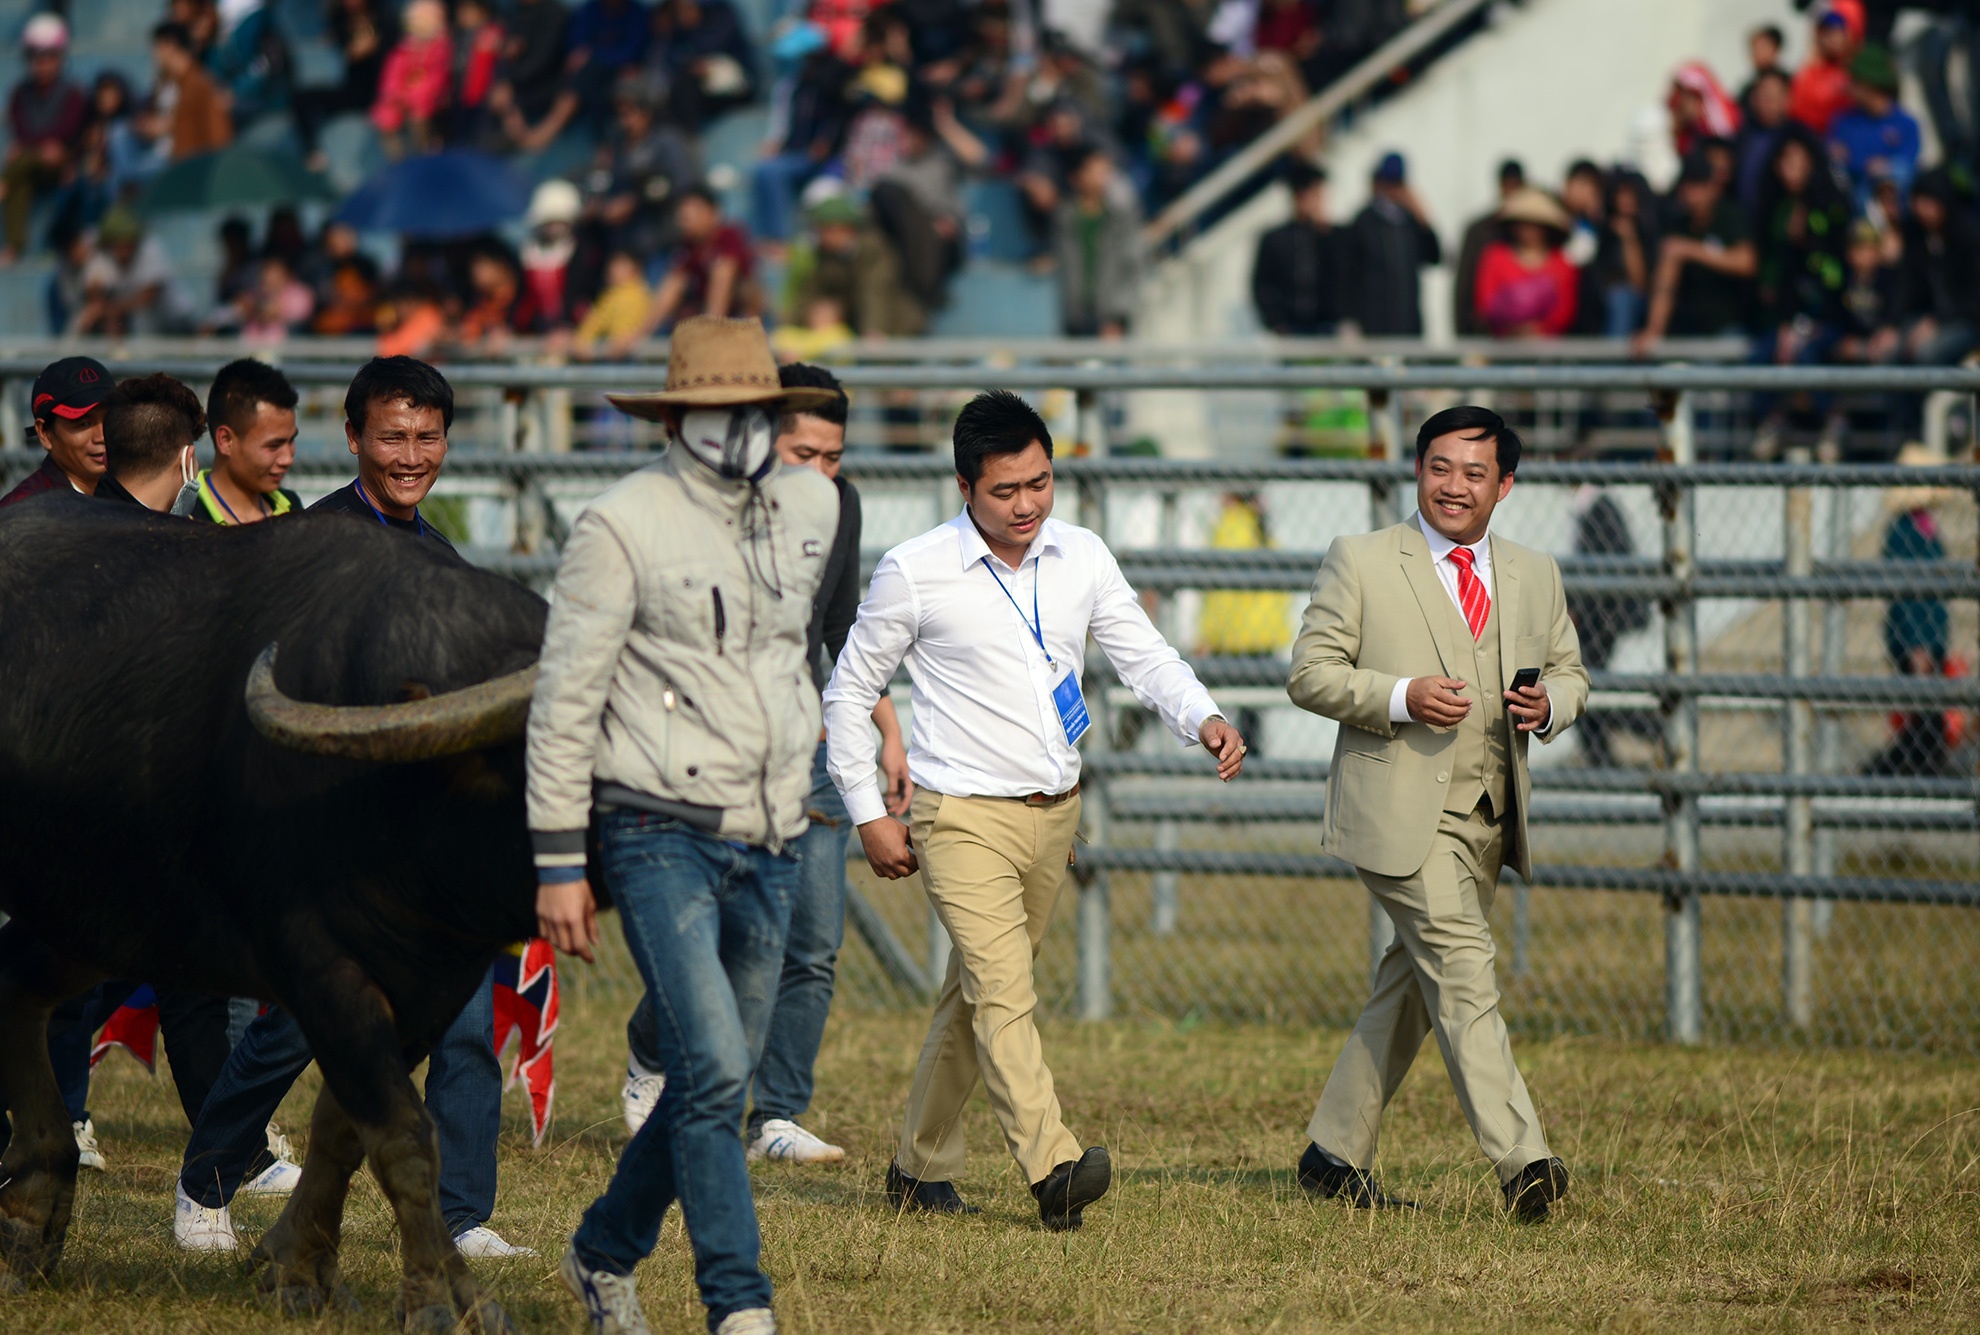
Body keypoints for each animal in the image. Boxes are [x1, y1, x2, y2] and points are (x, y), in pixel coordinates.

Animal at [0, 495, 546, 1331]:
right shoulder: (314, 961)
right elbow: (402, 1135)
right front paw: (443, 1295)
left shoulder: (433, 980)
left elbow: (344, 1126)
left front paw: (296, 1267)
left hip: (99, 909)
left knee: (14, 984)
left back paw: (31, 1215)